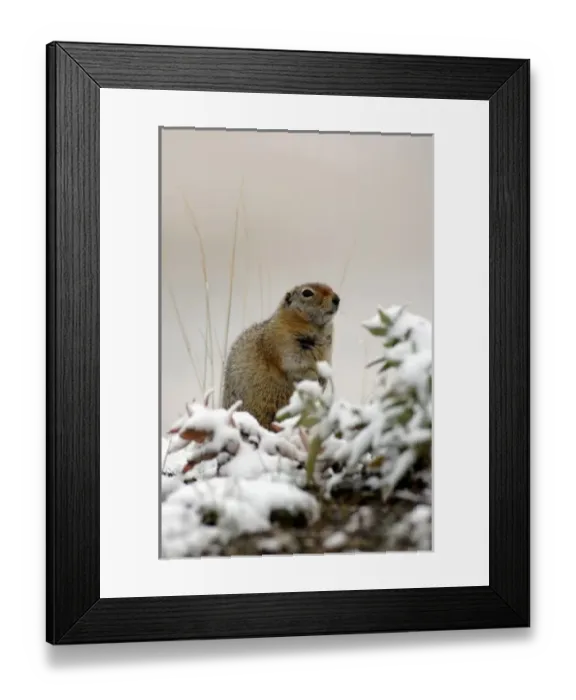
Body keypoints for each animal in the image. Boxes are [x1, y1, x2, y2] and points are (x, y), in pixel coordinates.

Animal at [222, 282, 340, 429]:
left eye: (331, 288)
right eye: (307, 293)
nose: (336, 299)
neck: (316, 329)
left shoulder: (326, 352)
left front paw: (323, 380)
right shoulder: (282, 343)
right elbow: (294, 365)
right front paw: (313, 376)